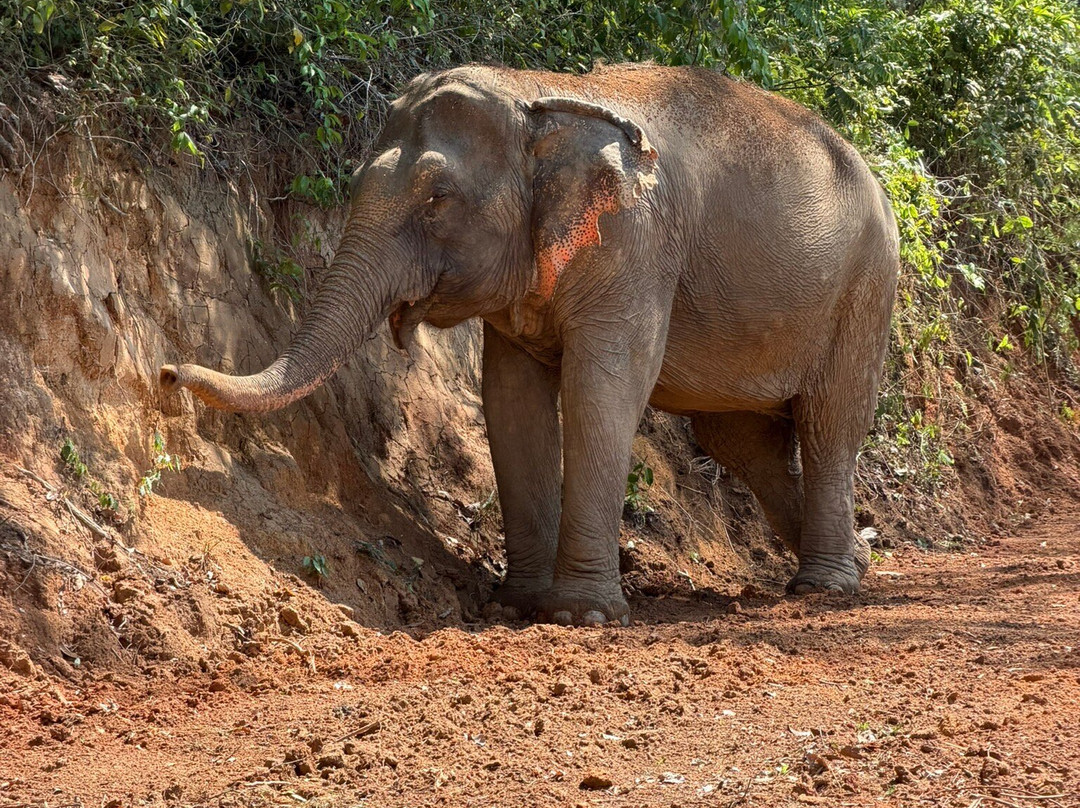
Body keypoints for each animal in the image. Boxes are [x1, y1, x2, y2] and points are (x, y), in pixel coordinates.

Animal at [160, 63, 899, 626]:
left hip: (866, 287)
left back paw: (825, 586)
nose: (165, 374)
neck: (540, 96)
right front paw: (516, 607)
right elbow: (510, 399)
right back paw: (853, 563)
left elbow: (603, 385)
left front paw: (581, 615)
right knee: (740, 440)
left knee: (829, 422)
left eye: (439, 198)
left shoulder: (634, 244)